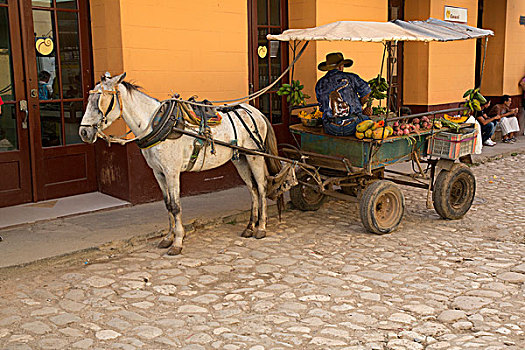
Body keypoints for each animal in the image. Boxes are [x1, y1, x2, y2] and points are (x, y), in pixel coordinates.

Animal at [79, 73, 282, 254]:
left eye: (98, 100)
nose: (84, 132)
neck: (157, 124)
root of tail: (256, 112)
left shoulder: (172, 172)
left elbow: (176, 206)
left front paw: (177, 242)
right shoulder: (158, 173)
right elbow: (168, 204)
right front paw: (168, 238)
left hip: (255, 157)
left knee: (262, 187)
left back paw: (261, 228)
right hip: (241, 159)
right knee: (253, 190)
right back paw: (249, 227)